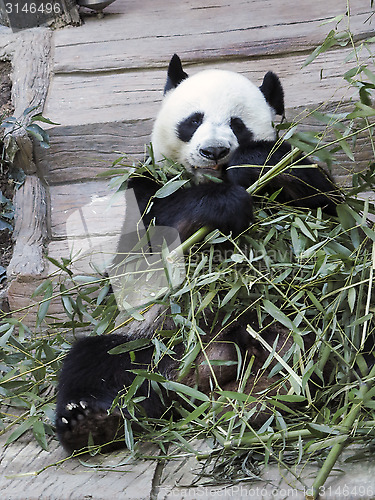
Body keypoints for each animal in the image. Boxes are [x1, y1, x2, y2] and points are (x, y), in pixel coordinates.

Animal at [55, 53, 340, 454]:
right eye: (193, 121)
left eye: (237, 124)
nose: (215, 151)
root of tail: (199, 372)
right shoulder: (146, 187)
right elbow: (146, 247)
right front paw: (223, 206)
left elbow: (324, 202)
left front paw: (253, 162)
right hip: (149, 337)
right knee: (98, 364)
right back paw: (91, 424)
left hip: (290, 315)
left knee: (314, 332)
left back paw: (280, 382)